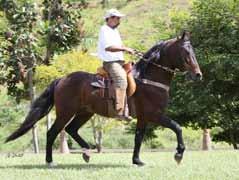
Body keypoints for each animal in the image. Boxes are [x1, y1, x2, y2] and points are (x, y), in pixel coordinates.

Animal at [5, 31, 202, 167]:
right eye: (185, 52)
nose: (198, 75)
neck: (148, 78)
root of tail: (62, 79)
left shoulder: (144, 118)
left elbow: (138, 138)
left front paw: (137, 160)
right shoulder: (154, 115)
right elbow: (177, 127)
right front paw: (178, 154)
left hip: (85, 113)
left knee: (71, 129)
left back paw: (87, 152)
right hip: (65, 112)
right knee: (53, 132)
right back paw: (50, 161)